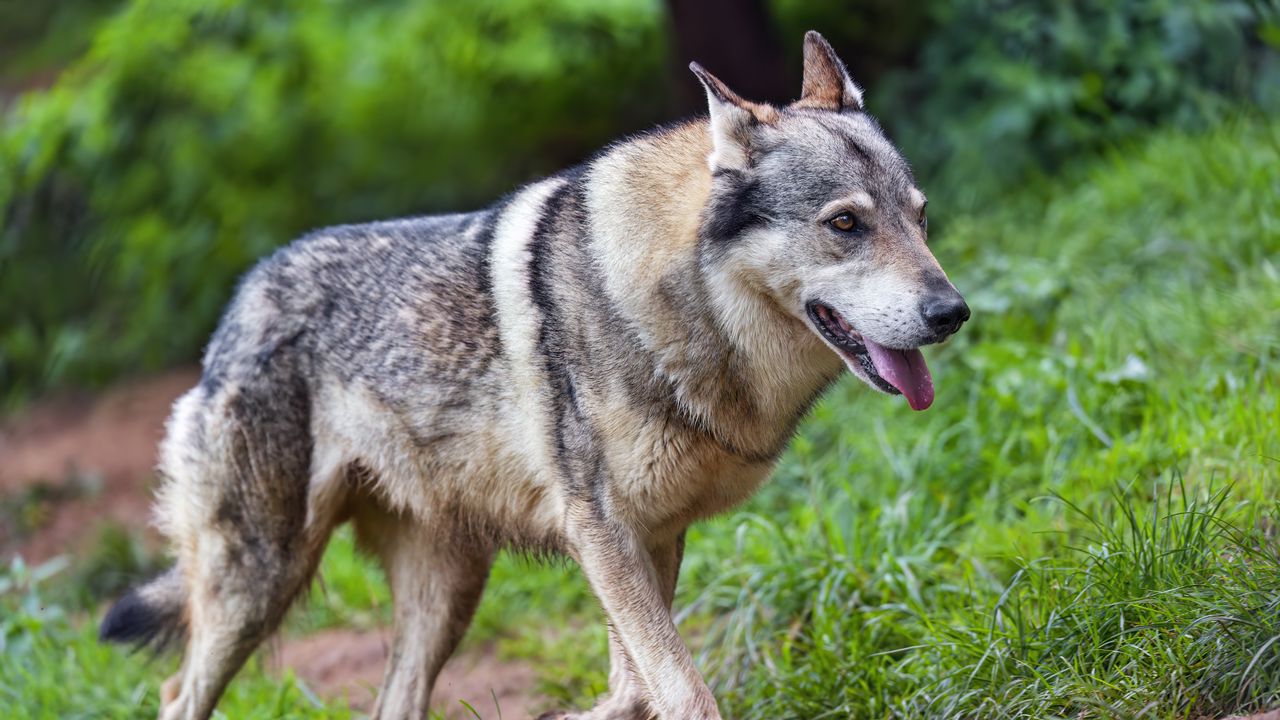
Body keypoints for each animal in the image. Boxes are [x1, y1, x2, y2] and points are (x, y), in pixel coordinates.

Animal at [102, 32, 967, 717]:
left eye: (920, 217)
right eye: (846, 224)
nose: (952, 312)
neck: (676, 309)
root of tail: (241, 299)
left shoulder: (651, 538)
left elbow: (632, 689)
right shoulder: (604, 531)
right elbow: (680, 691)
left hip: (444, 599)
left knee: (391, 703)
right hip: (259, 582)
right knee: (176, 692)